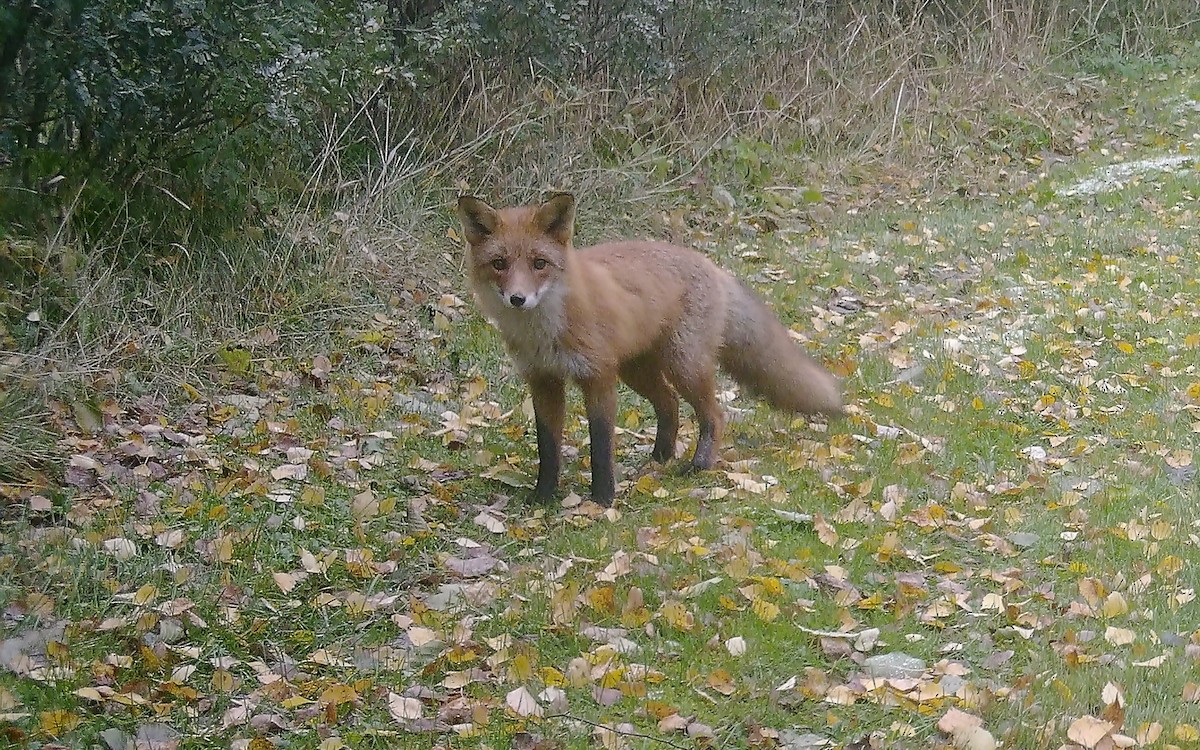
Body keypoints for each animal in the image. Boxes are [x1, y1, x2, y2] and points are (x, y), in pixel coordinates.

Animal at [456, 192, 843, 506]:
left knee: (713, 416)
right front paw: (543, 497)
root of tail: (712, 265)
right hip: (638, 370)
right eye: (499, 264)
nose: (518, 299)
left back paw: (698, 465)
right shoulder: (543, 380)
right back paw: (660, 458)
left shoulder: (598, 376)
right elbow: (548, 447)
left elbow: (601, 444)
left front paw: (602, 499)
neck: (545, 331)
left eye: (539, 264)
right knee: (669, 403)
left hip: (683, 365)